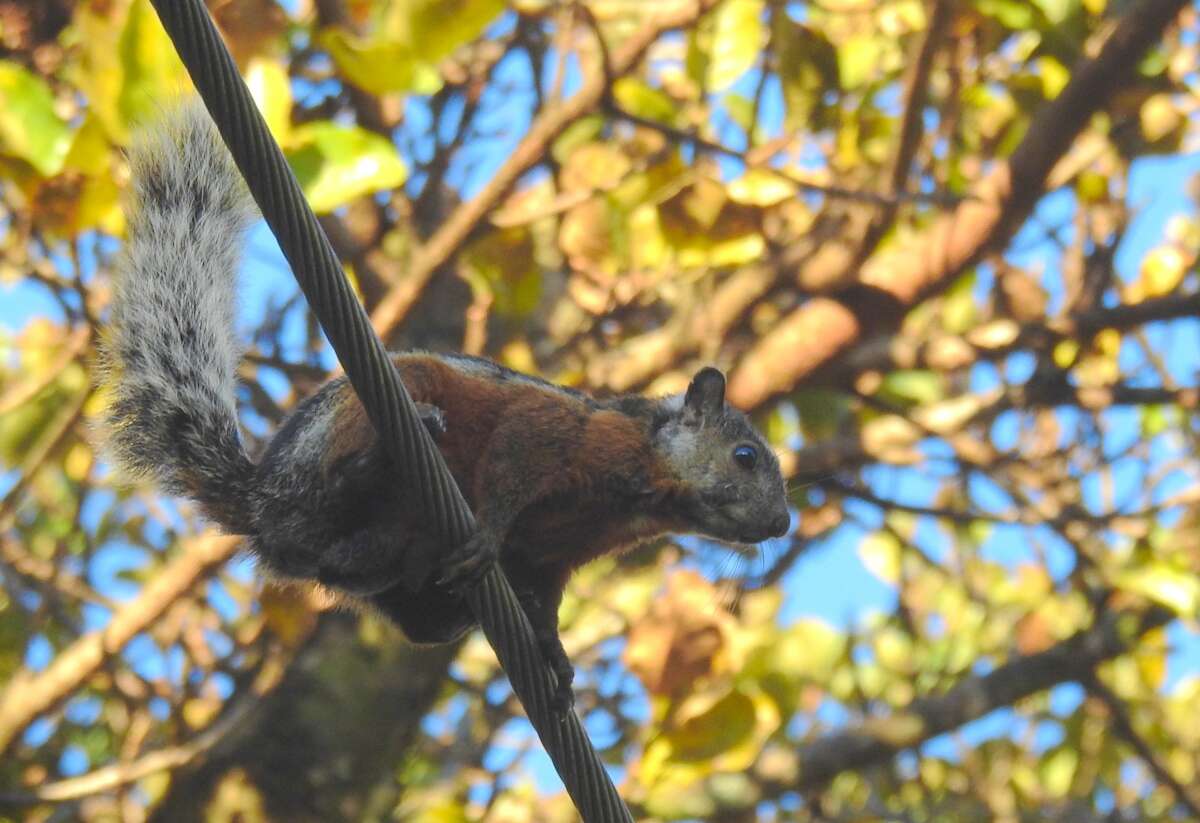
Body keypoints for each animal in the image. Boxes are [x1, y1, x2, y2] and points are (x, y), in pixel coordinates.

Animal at [98, 101, 792, 710]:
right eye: (745, 455)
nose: (783, 524)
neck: (638, 491)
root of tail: (261, 500)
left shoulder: (551, 560)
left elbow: (545, 611)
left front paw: (558, 662)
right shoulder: (550, 433)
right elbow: (509, 472)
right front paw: (485, 536)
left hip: (377, 562)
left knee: (380, 594)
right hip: (363, 419)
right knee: (343, 482)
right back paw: (387, 458)